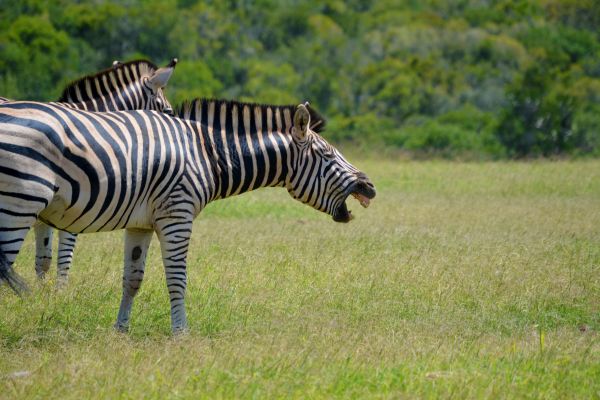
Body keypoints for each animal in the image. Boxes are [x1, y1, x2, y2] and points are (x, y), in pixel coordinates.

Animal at [0, 58, 178, 284]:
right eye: (168, 112)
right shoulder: (71, 206)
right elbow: (64, 257)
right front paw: (60, 291)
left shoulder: (44, 213)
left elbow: (44, 258)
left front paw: (42, 292)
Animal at [0, 98, 376, 332]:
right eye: (327, 155)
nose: (370, 186)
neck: (207, 154)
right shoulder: (177, 216)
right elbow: (177, 279)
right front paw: (181, 333)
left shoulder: (140, 223)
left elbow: (132, 280)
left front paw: (120, 330)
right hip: (20, 201)